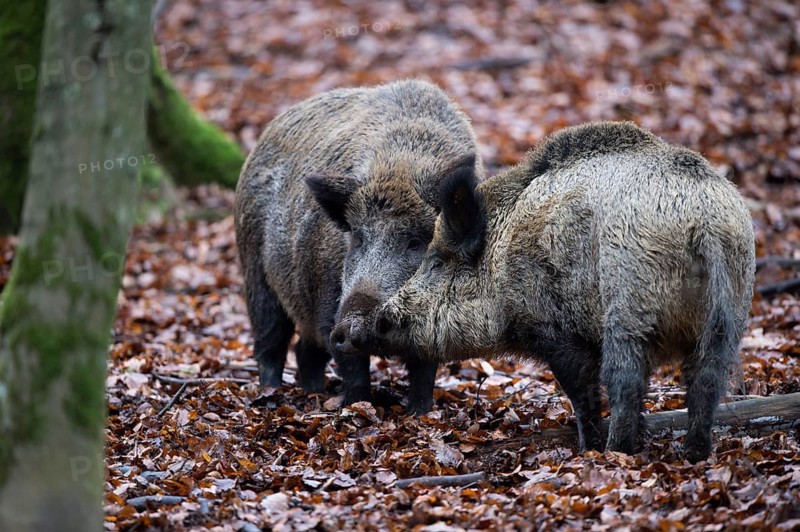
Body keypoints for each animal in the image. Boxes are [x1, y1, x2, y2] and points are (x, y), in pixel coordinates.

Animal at [234, 80, 484, 414]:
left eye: (415, 242)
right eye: (358, 236)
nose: (353, 321)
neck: (401, 164)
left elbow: (424, 369)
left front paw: (420, 413)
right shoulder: (330, 301)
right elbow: (352, 368)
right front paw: (355, 407)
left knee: (305, 350)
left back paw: (313, 392)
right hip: (255, 272)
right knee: (270, 344)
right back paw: (270, 394)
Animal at [371, 121, 755, 461]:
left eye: (436, 262)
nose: (378, 320)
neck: (502, 253)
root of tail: (704, 222)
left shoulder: (556, 332)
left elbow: (582, 393)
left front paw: (588, 449)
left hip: (628, 308)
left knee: (626, 381)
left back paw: (614, 453)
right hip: (730, 315)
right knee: (708, 380)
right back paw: (694, 454)